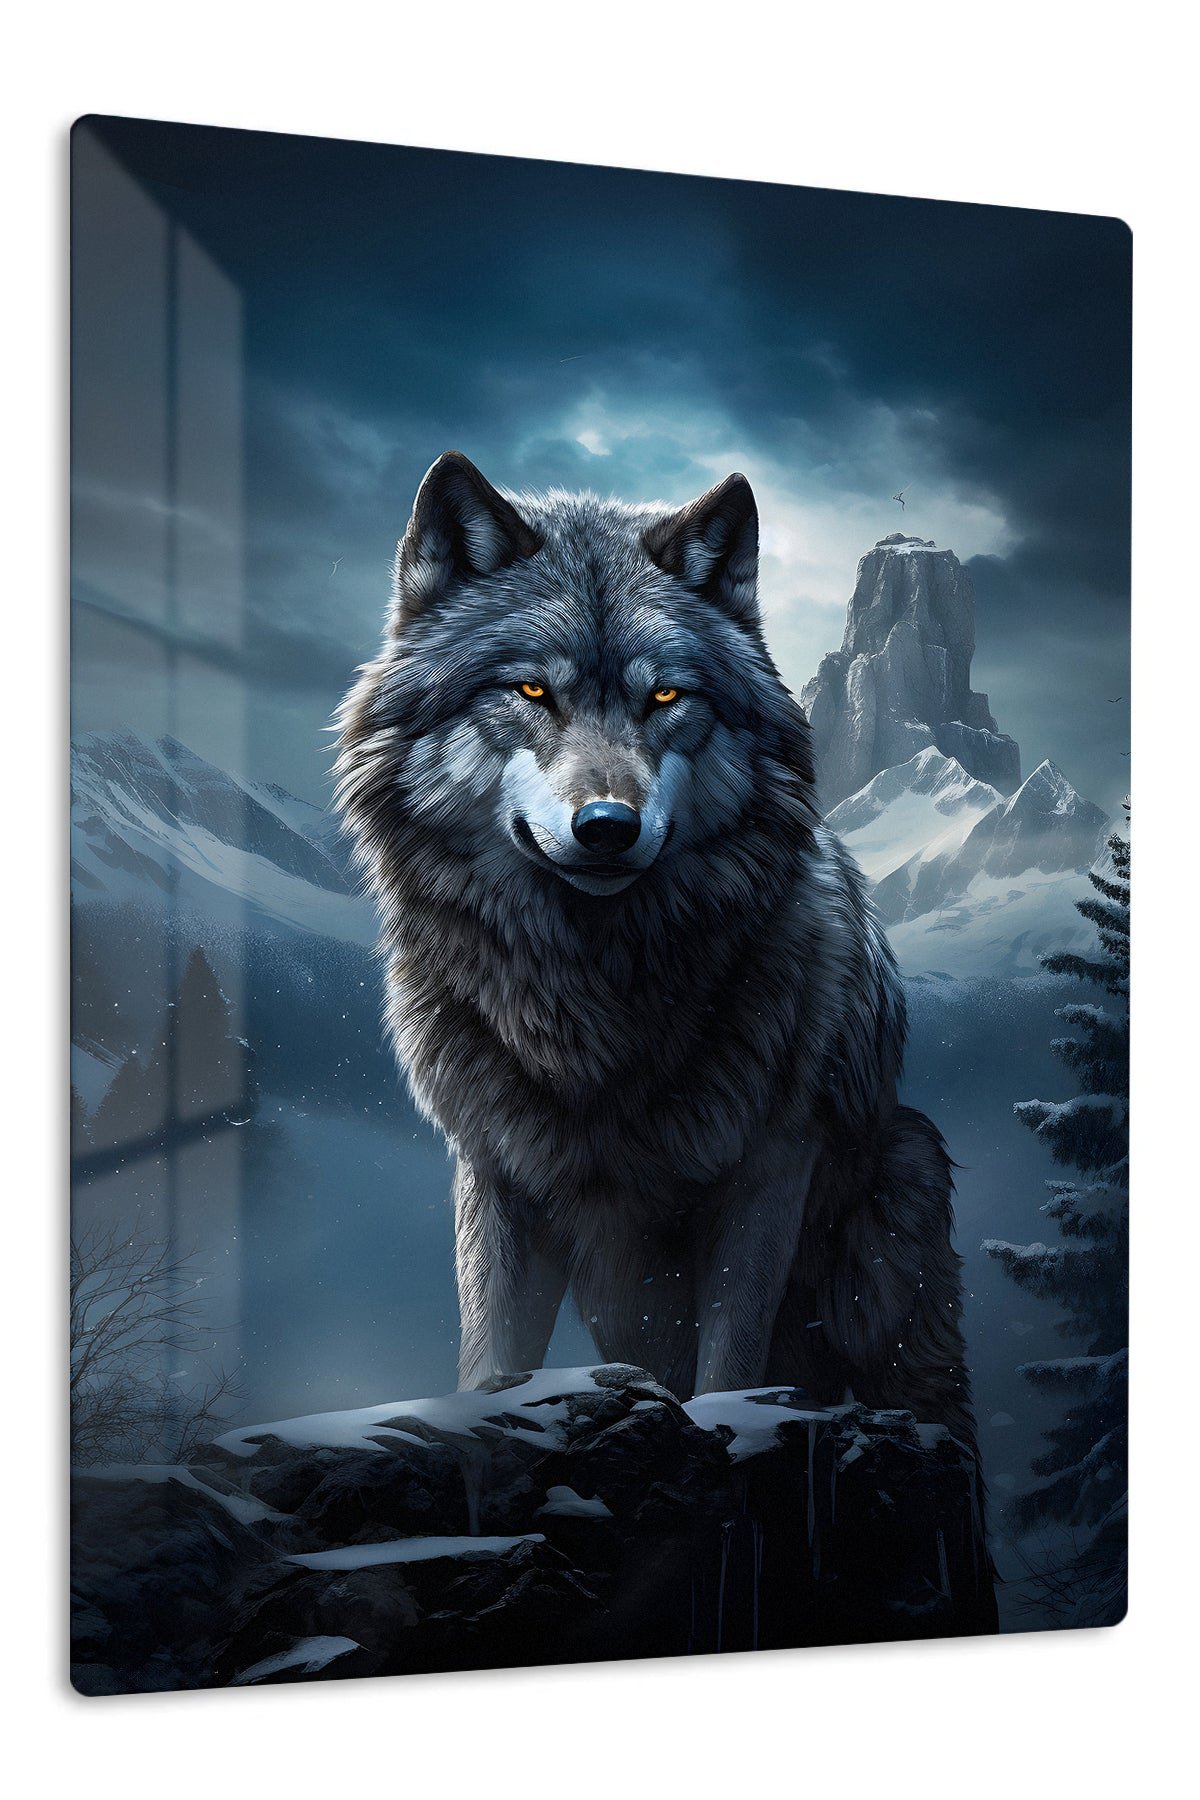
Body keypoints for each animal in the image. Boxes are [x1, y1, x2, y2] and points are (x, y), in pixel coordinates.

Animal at [336, 452, 977, 1447]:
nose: (606, 826)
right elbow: (490, 1356)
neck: (593, 990)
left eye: (666, 695)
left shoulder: (770, 1165)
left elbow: (731, 1361)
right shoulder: (496, 1170)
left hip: (902, 1201)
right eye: (532, 691)